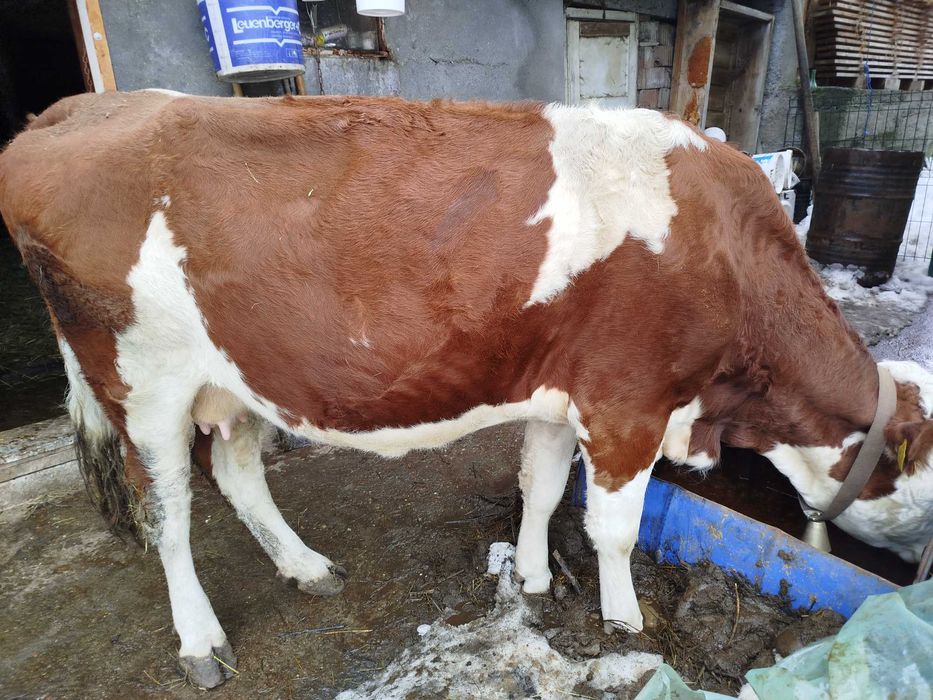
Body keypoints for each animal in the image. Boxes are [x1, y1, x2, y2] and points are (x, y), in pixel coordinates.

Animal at [1, 91, 931, 689]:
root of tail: (73, 109)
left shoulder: (562, 392)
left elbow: (542, 487)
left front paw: (532, 579)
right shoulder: (627, 403)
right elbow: (614, 527)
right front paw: (624, 620)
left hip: (231, 379)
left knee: (234, 471)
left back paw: (305, 567)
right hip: (140, 381)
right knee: (165, 510)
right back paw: (199, 640)